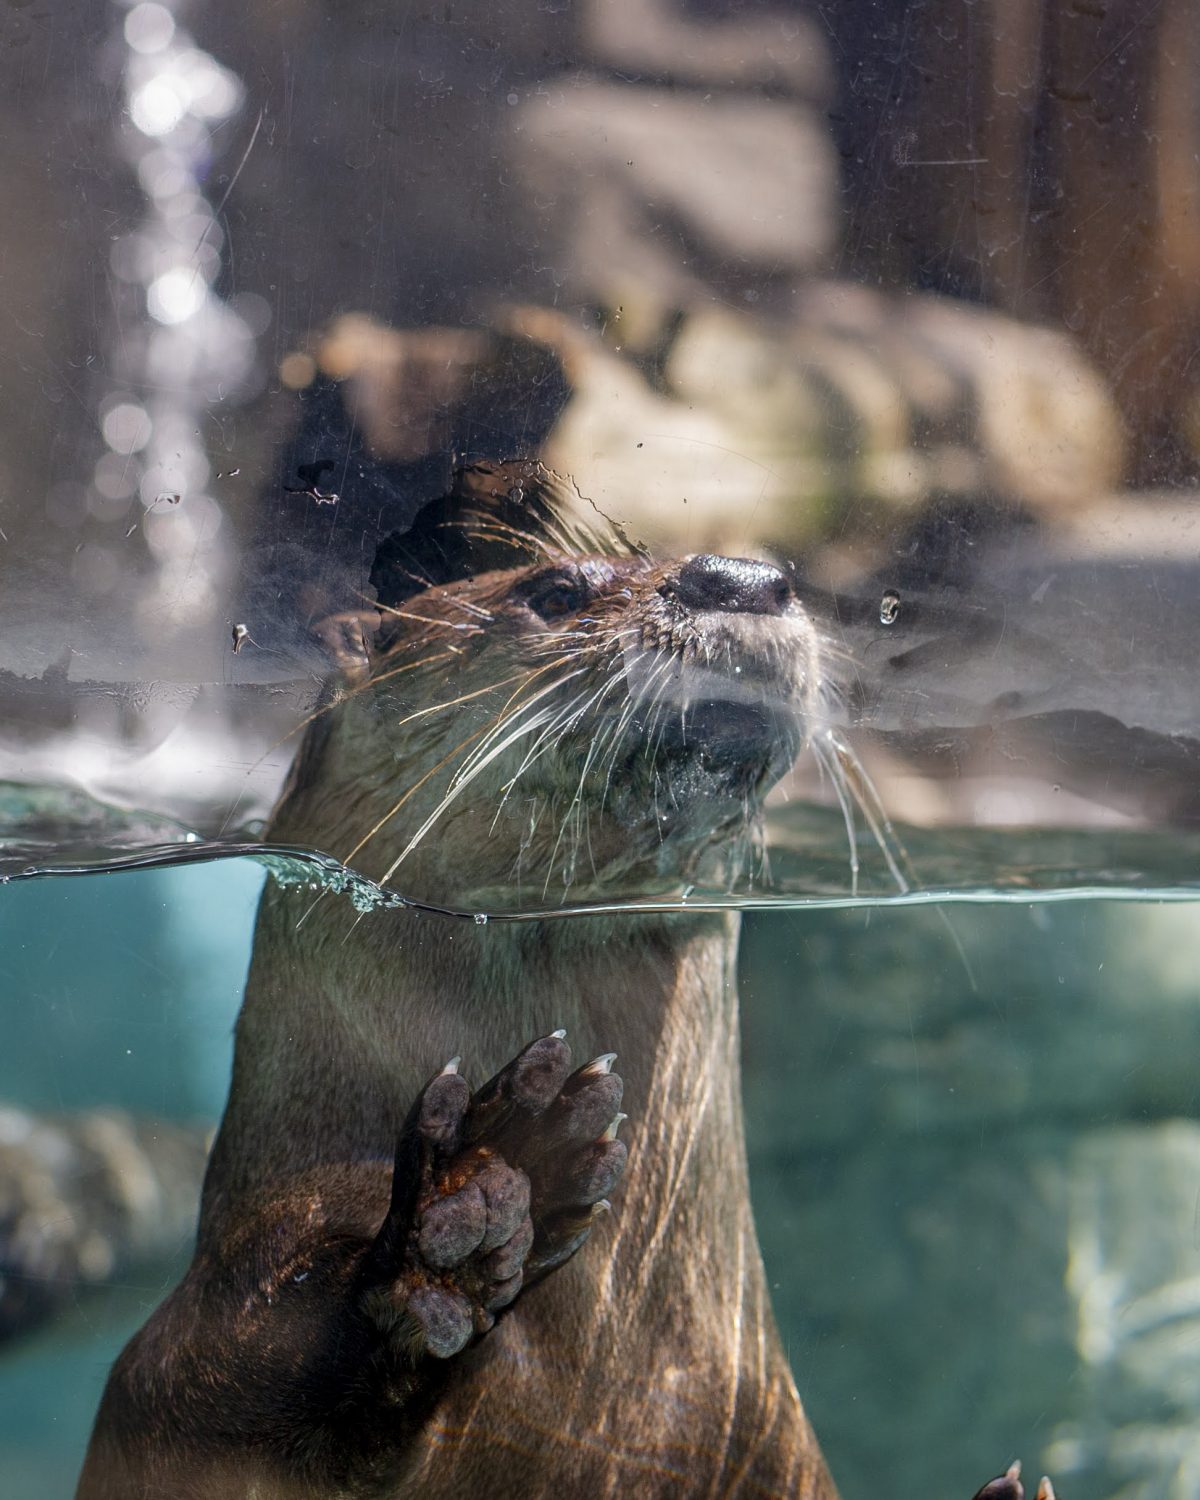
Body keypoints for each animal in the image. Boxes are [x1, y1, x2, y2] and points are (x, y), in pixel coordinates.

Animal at [79, 459, 1044, 1500]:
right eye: (554, 593)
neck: (620, 1375)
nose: (743, 577)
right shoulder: (207, 1326)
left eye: (774, 574)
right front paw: (482, 1202)